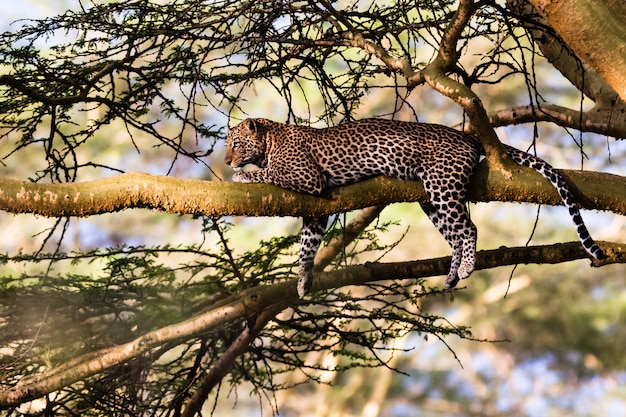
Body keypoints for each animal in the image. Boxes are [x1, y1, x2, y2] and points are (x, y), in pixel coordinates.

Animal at [223, 117, 600, 296]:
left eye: (235, 143)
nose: (225, 160)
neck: (271, 140)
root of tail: (468, 135)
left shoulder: (306, 177)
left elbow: (269, 173)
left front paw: (242, 176)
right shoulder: (317, 210)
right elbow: (306, 247)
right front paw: (303, 281)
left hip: (442, 186)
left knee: (469, 228)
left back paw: (467, 267)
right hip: (431, 200)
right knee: (454, 235)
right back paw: (452, 274)